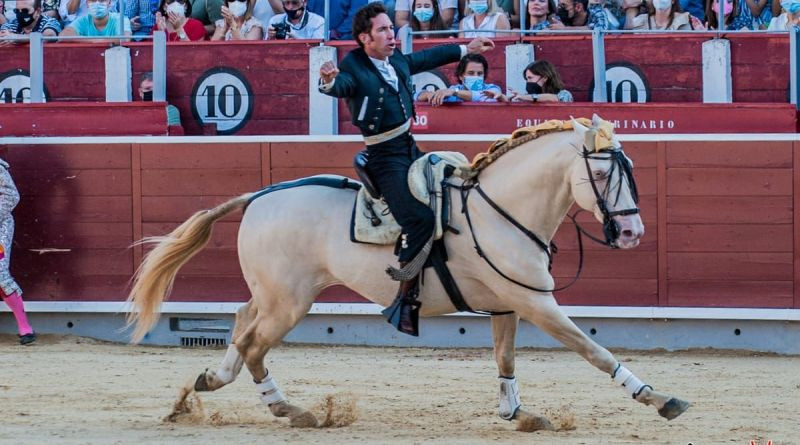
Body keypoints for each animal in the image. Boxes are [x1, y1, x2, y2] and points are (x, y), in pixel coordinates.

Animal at [128, 117, 692, 430]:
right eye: (600, 172)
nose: (632, 232)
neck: (500, 207)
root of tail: (261, 195)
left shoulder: (510, 302)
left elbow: (506, 358)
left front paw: (519, 414)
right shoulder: (538, 303)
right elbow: (594, 350)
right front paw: (658, 397)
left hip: (276, 294)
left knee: (242, 321)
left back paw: (209, 382)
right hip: (290, 301)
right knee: (252, 345)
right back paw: (293, 411)